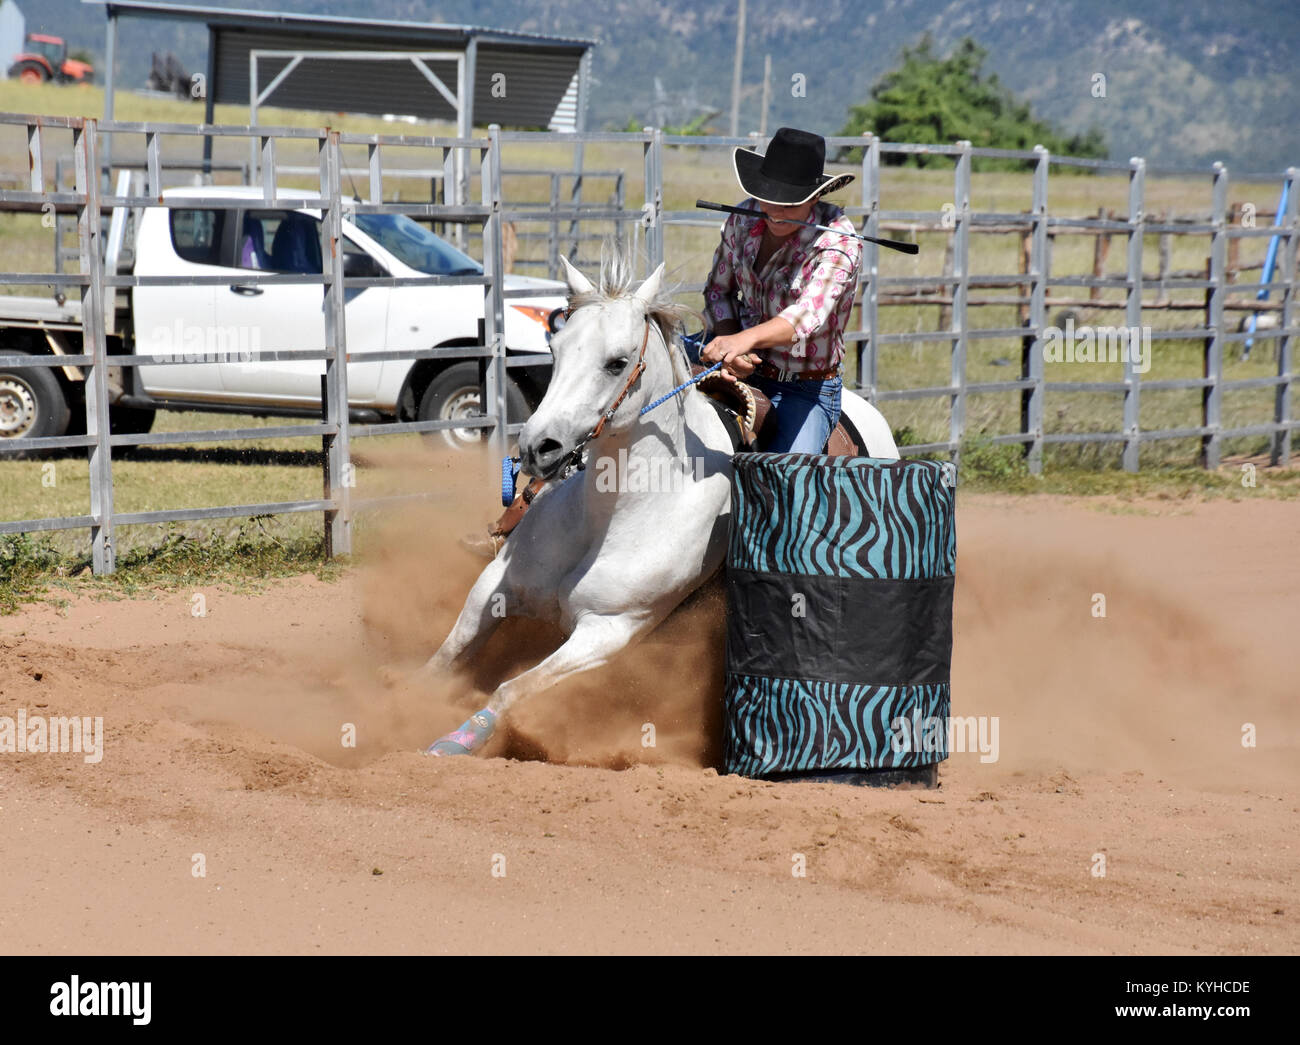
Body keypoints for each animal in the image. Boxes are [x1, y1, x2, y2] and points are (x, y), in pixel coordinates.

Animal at [421, 253, 899, 759]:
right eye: (556, 350)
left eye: (617, 362)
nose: (538, 447)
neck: (610, 514)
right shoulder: (494, 587)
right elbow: (442, 661)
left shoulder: (610, 631)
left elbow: (510, 690)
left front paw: (452, 742)